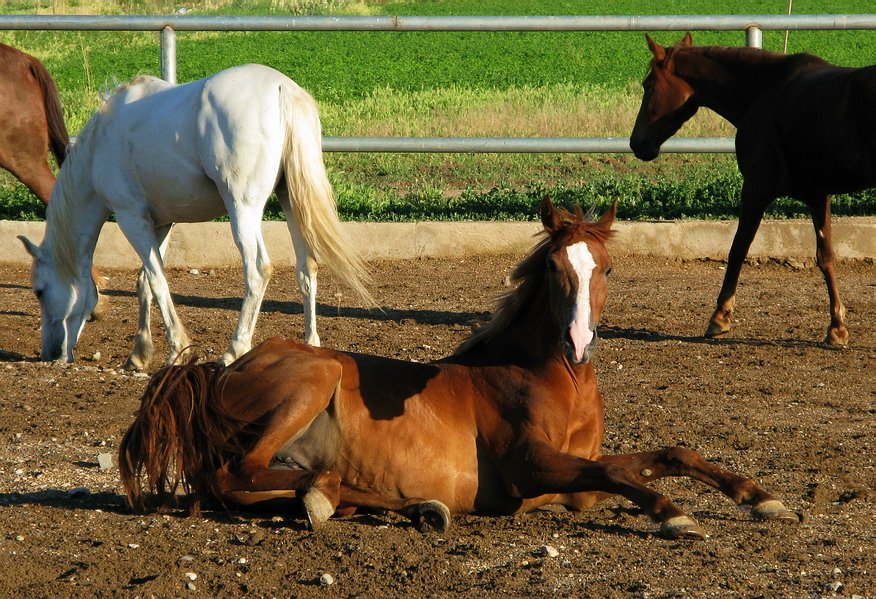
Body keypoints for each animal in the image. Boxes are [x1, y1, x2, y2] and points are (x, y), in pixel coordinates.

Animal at [20, 63, 370, 368]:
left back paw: (234, 351)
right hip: (290, 200)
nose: (50, 354)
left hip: (242, 208)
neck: (99, 148)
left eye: (39, 291)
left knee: (258, 270)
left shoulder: (131, 217)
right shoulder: (160, 222)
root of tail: (283, 89)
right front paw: (139, 354)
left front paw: (178, 350)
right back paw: (310, 346)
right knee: (306, 267)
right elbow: (144, 282)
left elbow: (158, 281)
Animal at [118, 198, 800, 540]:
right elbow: (617, 471)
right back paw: (330, 497)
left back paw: (409, 507)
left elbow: (662, 455)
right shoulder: (528, 465)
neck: (556, 381)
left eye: (607, 268)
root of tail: (215, 374)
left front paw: (761, 498)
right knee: (234, 475)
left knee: (275, 483)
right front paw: (672, 513)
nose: (578, 343)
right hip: (312, 381)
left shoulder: (573, 472)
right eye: (555, 269)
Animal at [628, 32, 876, 346]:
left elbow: (738, 249)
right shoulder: (817, 195)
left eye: (648, 85)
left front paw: (719, 317)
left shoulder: (756, 189)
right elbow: (826, 257)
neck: (765, 91)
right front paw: (837, 328)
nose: (636, 143)